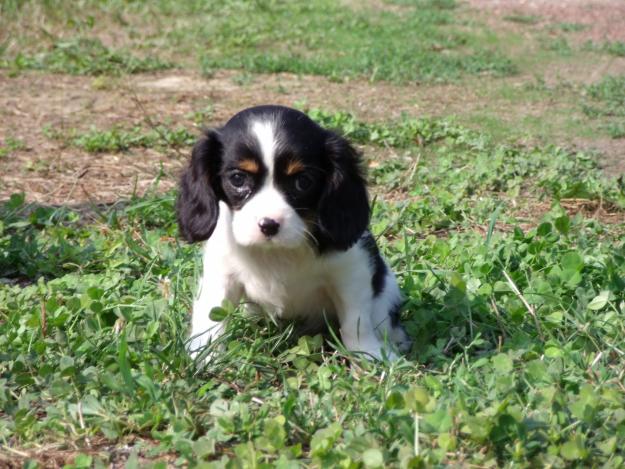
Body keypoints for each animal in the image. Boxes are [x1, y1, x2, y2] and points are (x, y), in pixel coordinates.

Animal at [177, 106, 410, 360]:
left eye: (303, 181)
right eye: (238, 179)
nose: (269, 224)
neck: (277, 253)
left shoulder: (350, 272)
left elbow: (356, 320)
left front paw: (368, 354)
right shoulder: (222, 273)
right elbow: (211, 318)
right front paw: (204, 357)